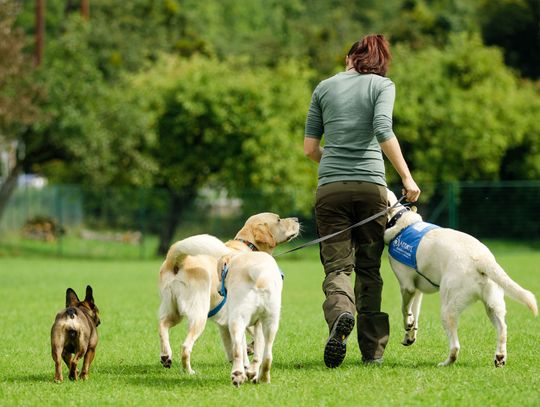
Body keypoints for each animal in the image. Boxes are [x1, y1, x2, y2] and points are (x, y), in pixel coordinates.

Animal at [384, 190, 536, 368]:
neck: (399, 220)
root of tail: (482, 259)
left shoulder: (407, 287)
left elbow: (404, 311)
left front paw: (408, 324)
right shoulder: (418, 291)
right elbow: (415, 316)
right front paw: (409, 336)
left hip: (447, 309)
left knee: (455, 347)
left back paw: (446, 363)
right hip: (493, 306)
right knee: (503, 329)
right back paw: (499, 357)